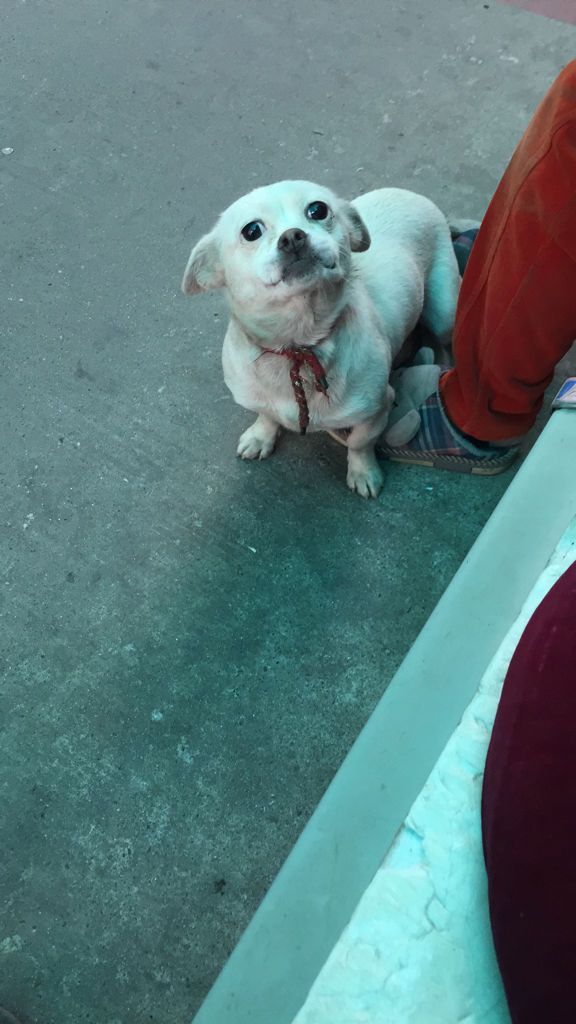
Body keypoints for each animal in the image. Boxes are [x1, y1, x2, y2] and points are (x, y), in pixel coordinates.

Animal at [182, 180, 460, 498]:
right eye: (251, 231)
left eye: (318, 210)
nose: (292, 237)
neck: (297, 343)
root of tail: (406, 193)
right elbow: (266, 415)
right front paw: (261, 436)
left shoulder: (377, 410)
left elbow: (359, 443)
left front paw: (363, 472)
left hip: (443, 312)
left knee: (444, 338)